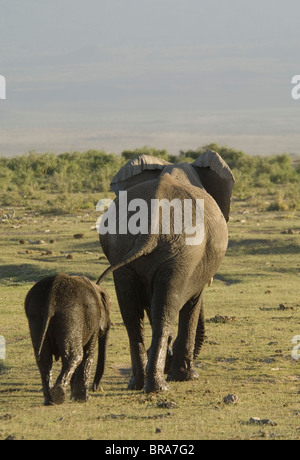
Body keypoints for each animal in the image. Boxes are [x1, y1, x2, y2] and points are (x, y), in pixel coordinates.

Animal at [24, 274, 111, 406]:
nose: (95, 389)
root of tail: (51, 295)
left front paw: (75, 397)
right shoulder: (93, 321)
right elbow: (88, 354)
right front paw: (83, 399)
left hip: (36, 315)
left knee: (44, 358)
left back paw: (48, 400)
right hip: (71, 315)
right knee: (75, 356)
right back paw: (57, 398)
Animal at [98, 150, 234, 392]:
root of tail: (151, 224)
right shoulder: (194, 265)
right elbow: (192, 304)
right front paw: (187, 376)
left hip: (123, 248)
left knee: (133, 316)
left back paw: (138, 383)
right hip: (182, 254)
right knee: (164, 313)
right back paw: (159, 386)